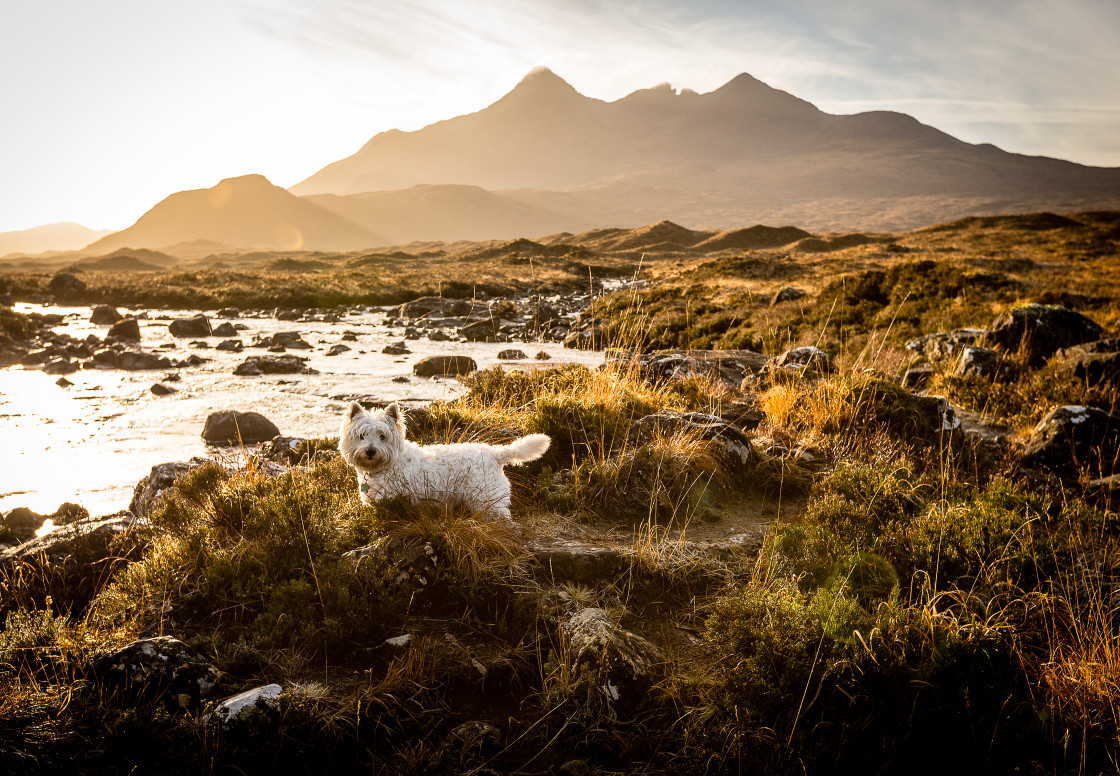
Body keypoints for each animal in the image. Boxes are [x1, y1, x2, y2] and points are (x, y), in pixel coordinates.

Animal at [340, 403, 551, 517]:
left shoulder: (392, 500)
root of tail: (495, 453)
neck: (386, 465)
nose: (370, 451)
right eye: (362, 436)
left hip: (487, 499)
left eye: (382, 436)